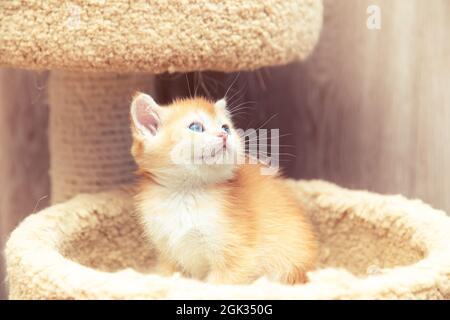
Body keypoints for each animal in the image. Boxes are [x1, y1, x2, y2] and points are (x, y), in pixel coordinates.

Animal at [129, 92, 316, 284]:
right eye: (195, 127)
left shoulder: (239, 256)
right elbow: (167, 275)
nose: (224, 135)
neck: (185, 192)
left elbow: (219, 283)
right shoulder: (167, 254)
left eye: (226, 128)